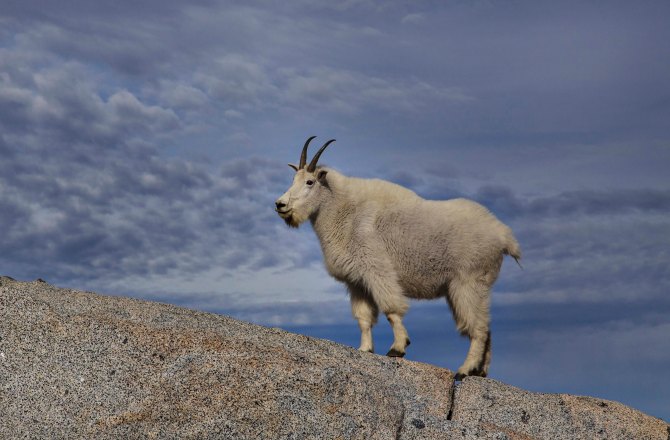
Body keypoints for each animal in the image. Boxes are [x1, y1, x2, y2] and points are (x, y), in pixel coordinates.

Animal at [275, 136, 521, 379]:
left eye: (310, 182)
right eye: (293, 179)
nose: (280, 204)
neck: (343, 210)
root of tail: (504, 235)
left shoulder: (377, 269)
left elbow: (391, 309)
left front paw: (398, 348)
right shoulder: (357, 282)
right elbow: (364, 318)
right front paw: (364, 349)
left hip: (467, 281)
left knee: (477, 327)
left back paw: (464, 370)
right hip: (473, 285)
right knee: (486, 325)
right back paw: (480, 371)